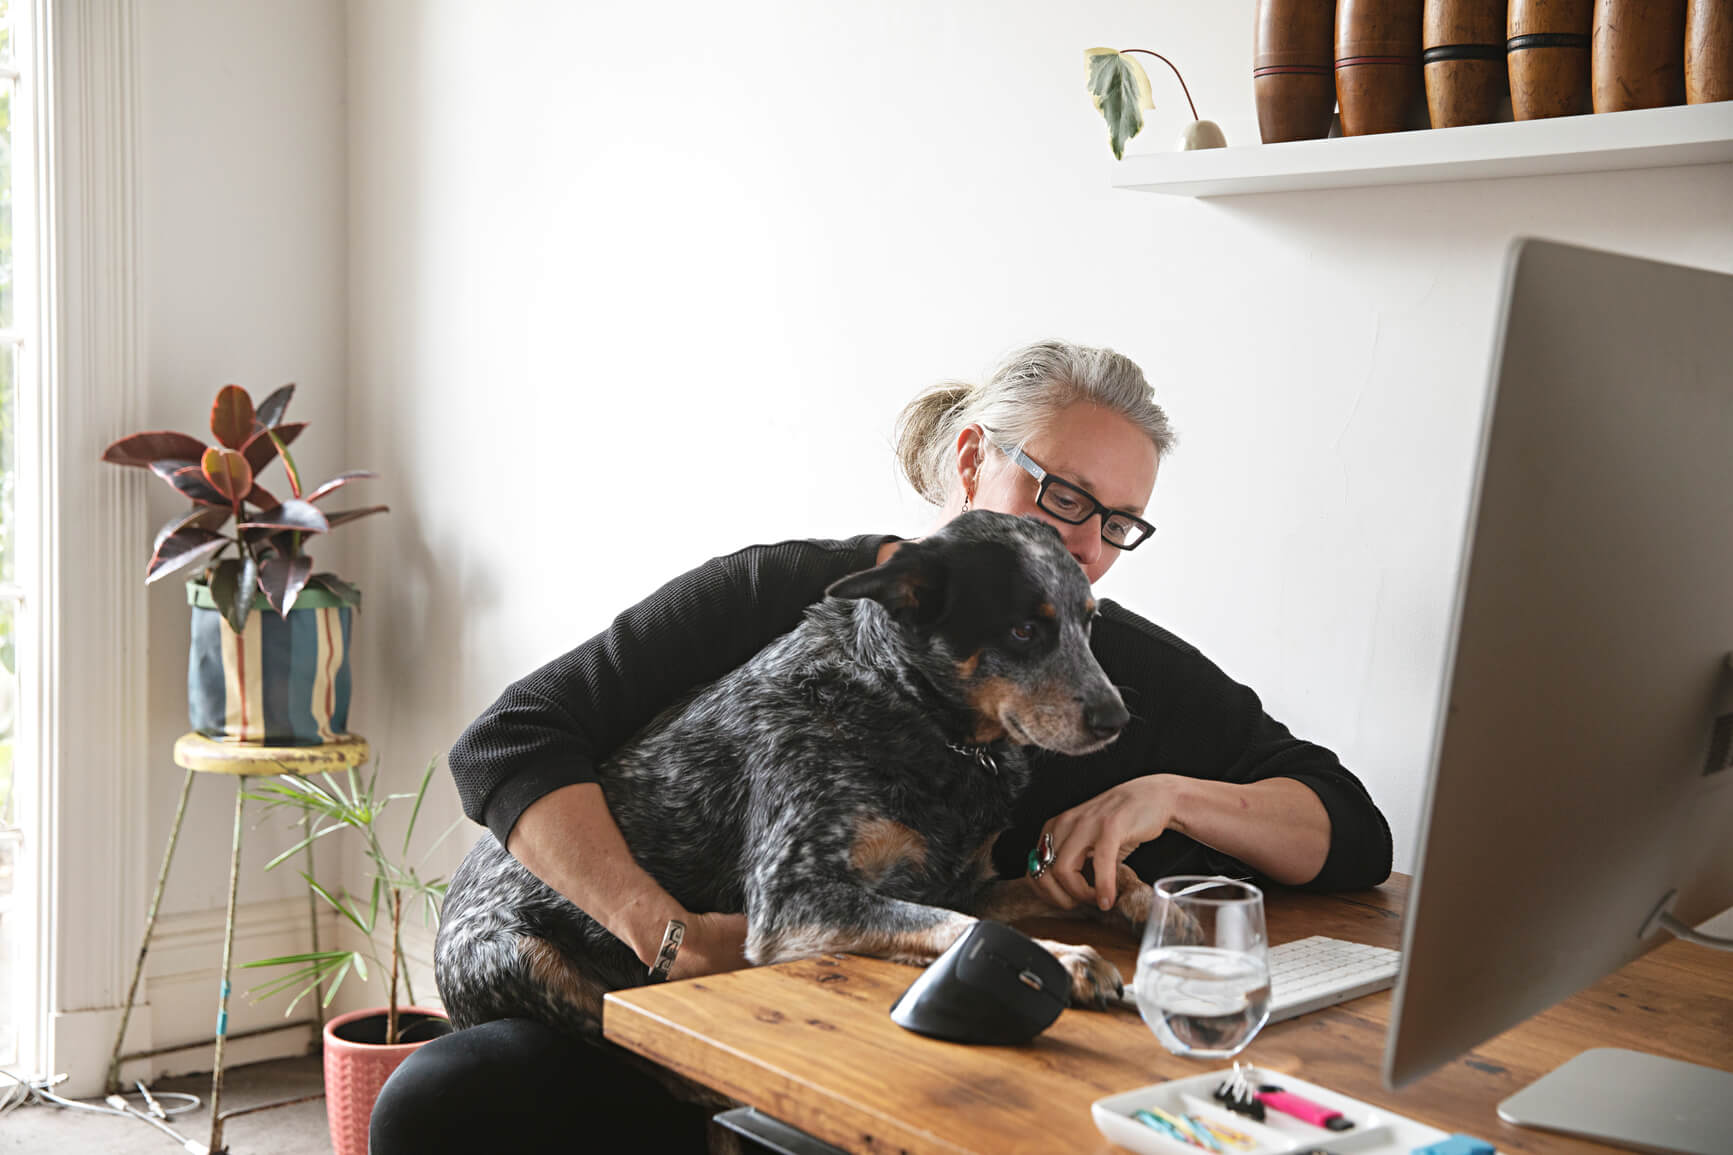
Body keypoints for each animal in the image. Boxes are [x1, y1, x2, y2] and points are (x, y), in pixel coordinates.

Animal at [436, 513, 1150, 1033]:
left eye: (1089, 622)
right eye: (1025, 630)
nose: (1119, 717)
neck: (916, 712)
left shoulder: (961, 883)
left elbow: (1084, 886)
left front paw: (1148, 905)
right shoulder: (795, 894)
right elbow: (963, 927)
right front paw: (1064, 957)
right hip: (525, 958)